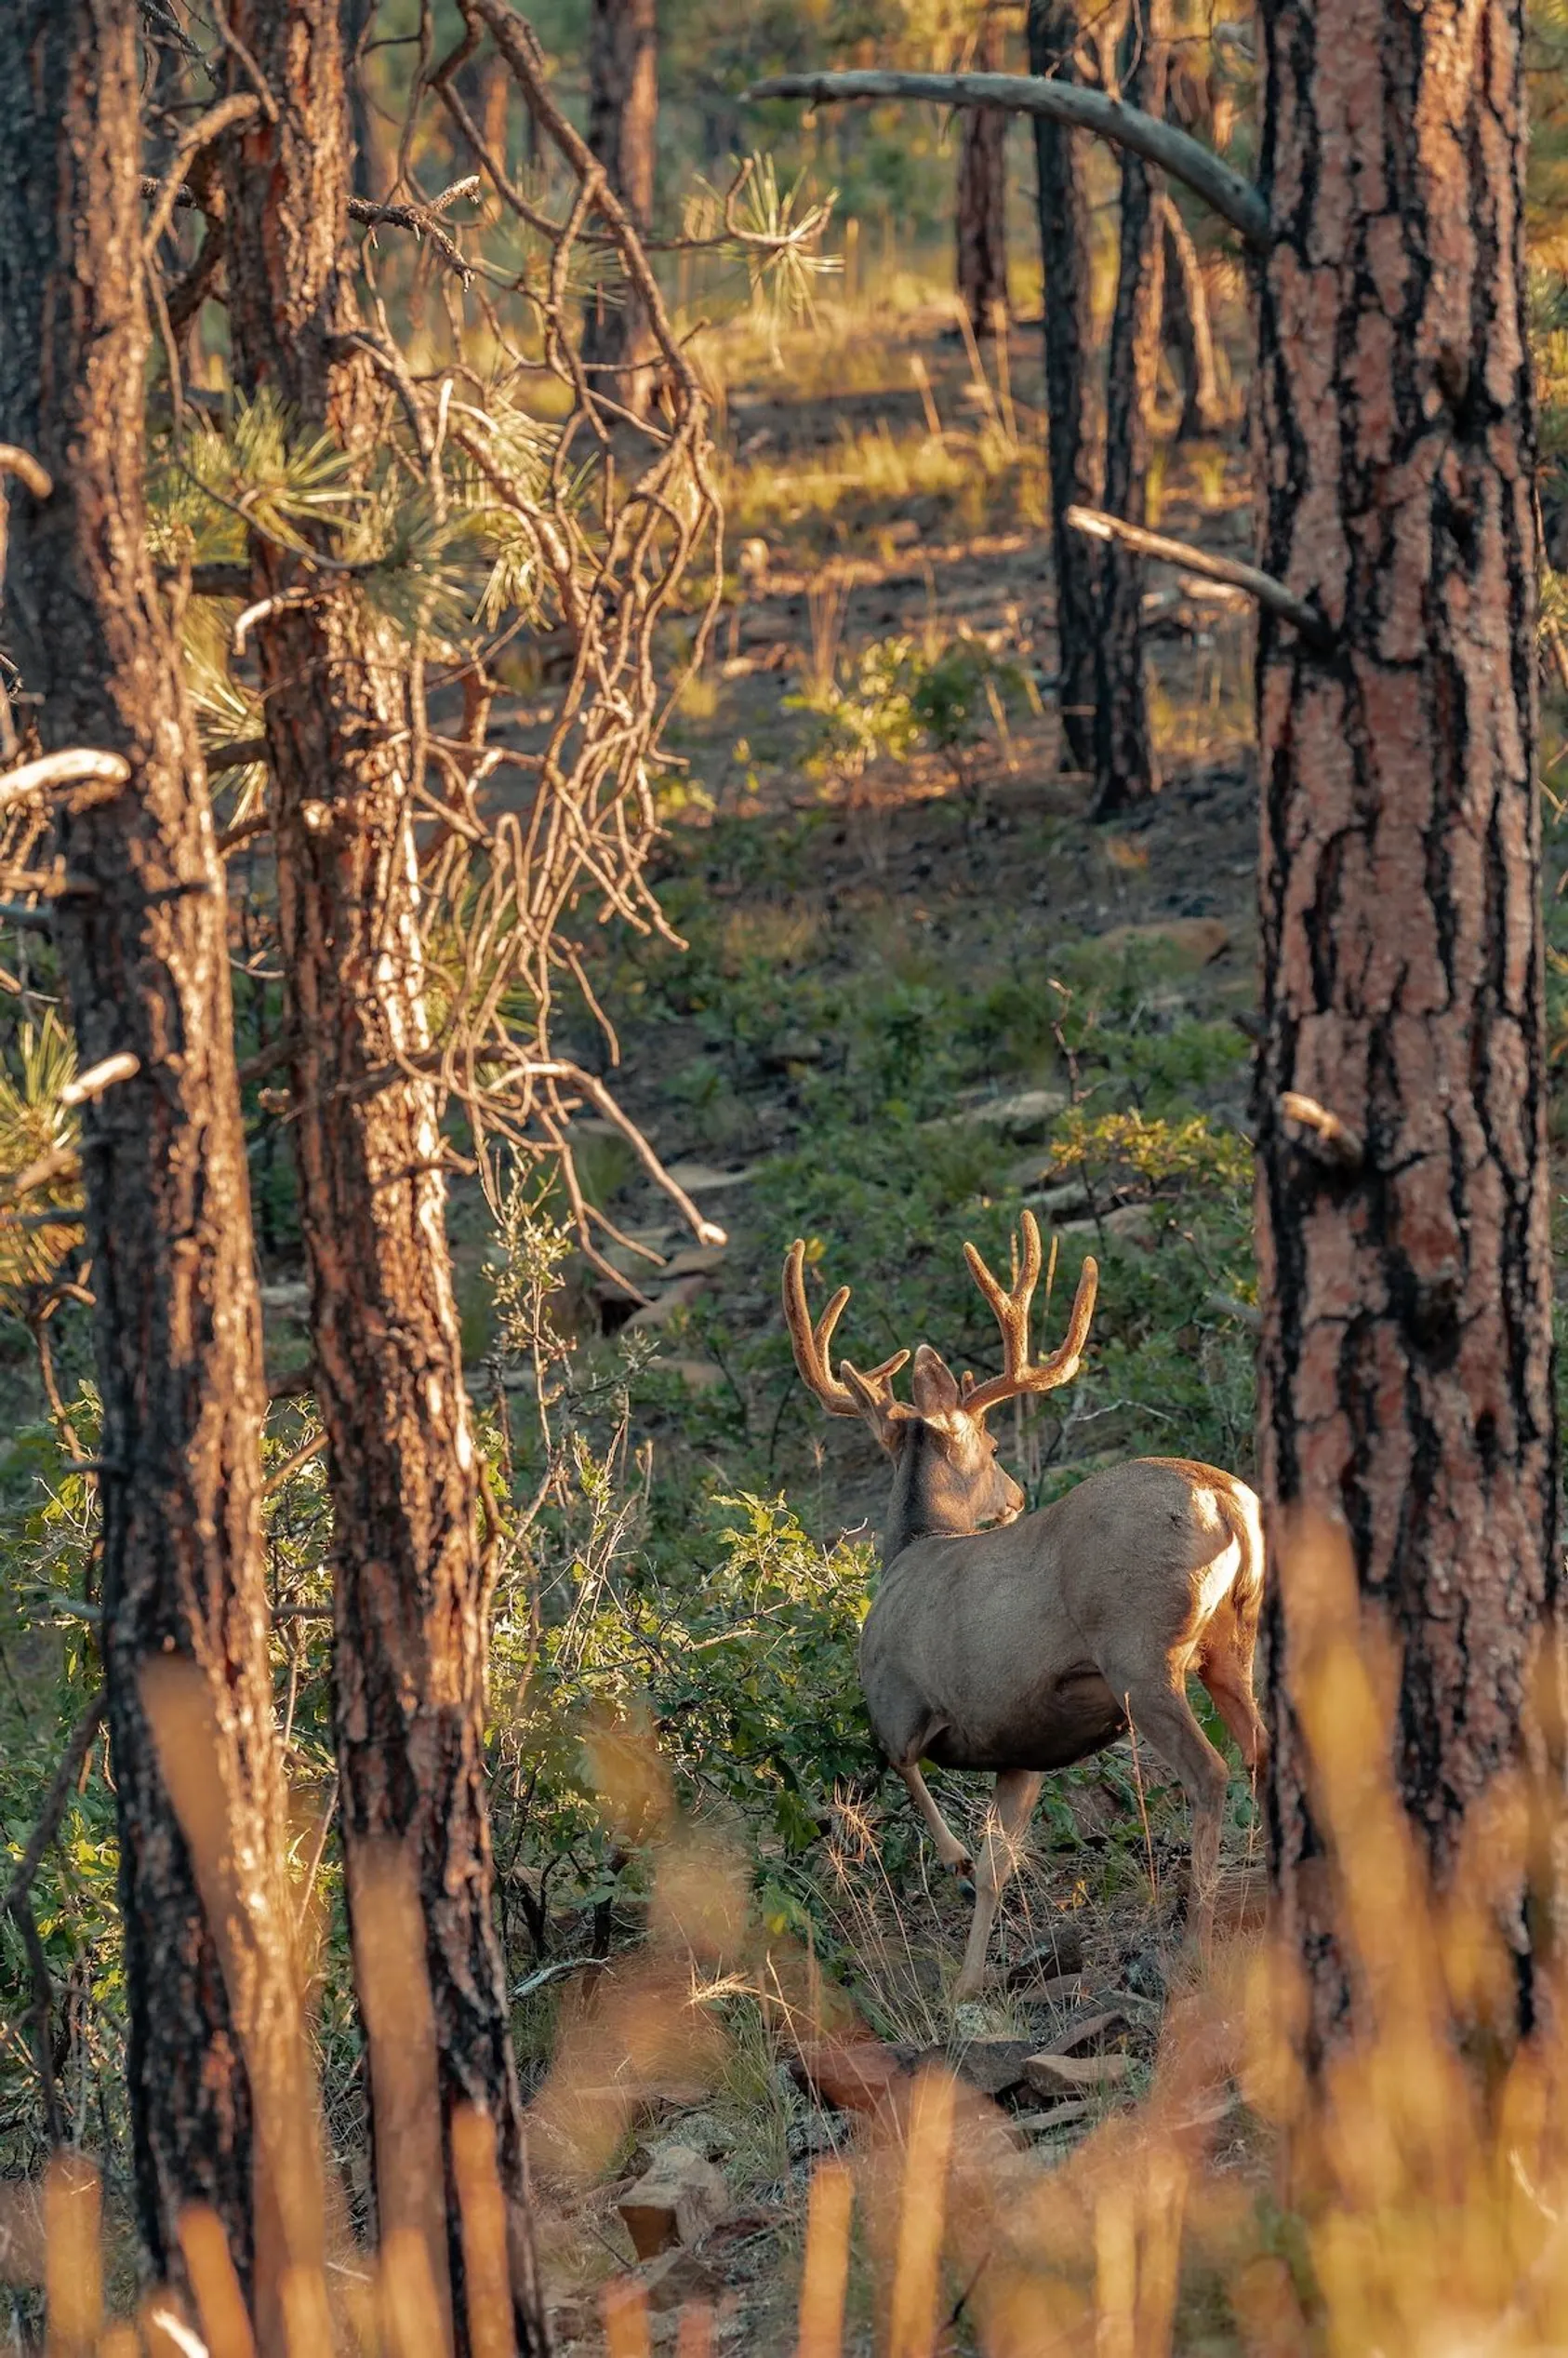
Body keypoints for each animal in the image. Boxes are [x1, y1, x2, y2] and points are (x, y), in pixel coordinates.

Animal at [782, 1212, 1266, 2004]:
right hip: (1231, 1643)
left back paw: (1195, 1944)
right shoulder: (1024, 1745)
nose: (1011, 1496)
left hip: (1140, 1650)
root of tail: (1225, 1497)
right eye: (994, 1441)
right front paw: (968, 1981)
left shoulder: (898, 1698)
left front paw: (951, 1868)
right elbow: (997, 1862)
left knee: (1210, 1772)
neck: (913, 1549)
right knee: (1262, 1751)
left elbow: (911, 1777)